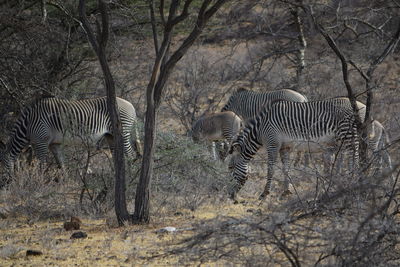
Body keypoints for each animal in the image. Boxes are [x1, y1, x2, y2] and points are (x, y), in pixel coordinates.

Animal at [0, 97, 141, 178]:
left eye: (1, 164)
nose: (6, 185)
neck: (28, 124)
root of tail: (130, 104)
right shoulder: (54, 144)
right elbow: (61, 164)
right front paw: (65, 182)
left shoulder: (41, 141)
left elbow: (41, 165)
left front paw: (39, 182)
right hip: (111, 136)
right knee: (119, 156)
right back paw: (117, 178)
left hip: (122, 131)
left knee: (130, 155)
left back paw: (130, 178)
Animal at [227, 98, 364, 201]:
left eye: (230, 167)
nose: (230, 196)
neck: (260, 129)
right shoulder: (285, 147)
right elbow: (285, 168)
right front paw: (286, 191)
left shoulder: (273, 144)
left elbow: (270, 169)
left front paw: (265, 193)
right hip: (350, 136)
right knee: (353, 157)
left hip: (347, 134)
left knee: (354, 158)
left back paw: (352, 182)